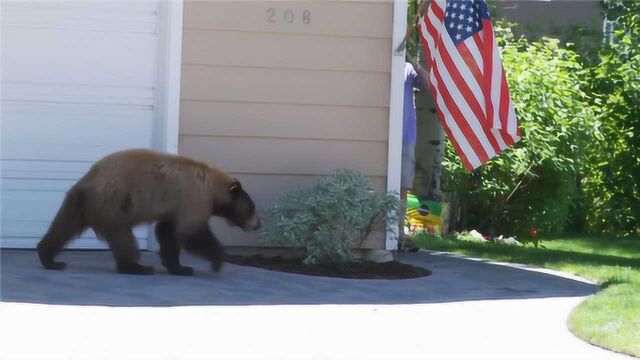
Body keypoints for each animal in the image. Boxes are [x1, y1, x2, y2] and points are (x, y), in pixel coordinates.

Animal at [35, 149, 258, 276]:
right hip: (112, 203)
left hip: (79, 204)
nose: (258, 224)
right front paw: (217, 261)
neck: (211, 185)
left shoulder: (175, 207)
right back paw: (136, 267)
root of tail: (85, 181)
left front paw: (179, 267)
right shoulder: (191, 197)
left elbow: (167, 232)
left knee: (64, 226)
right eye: (252, 208)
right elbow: (192, 233)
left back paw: (50, 258)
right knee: (122, 237)